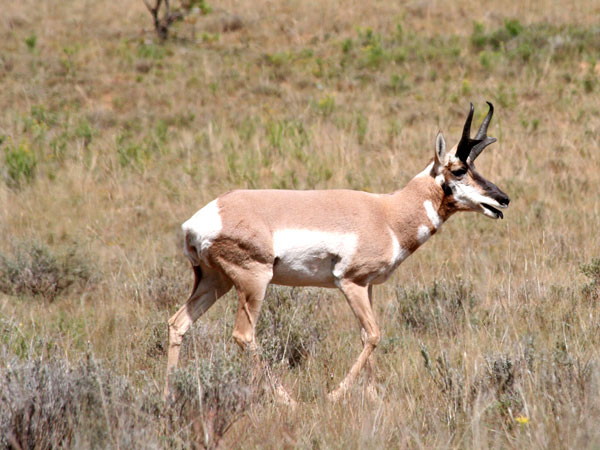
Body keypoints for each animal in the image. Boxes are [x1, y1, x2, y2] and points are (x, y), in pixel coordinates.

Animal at [165, 103, 510, 402]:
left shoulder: (367, 287)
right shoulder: (350, 282)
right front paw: (335, 395)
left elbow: (366, 335)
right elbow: (373, 334)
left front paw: (373, 396)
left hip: (215, 281)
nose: (503, 199)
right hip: (254, 282)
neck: (387, 213)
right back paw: (287, 401)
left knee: (178, 323)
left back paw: (169, 396)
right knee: (244, 335)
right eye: (459, 169)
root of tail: (203, 217)